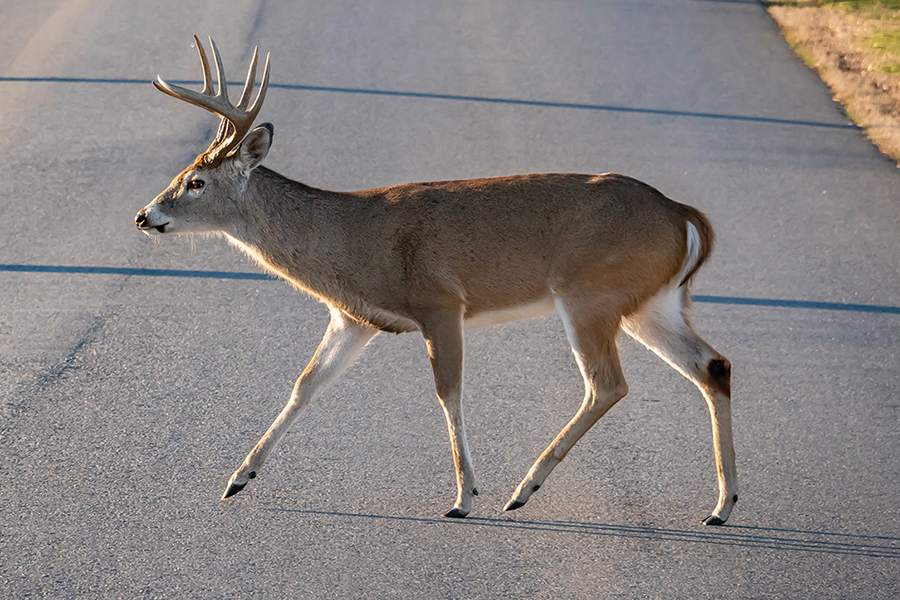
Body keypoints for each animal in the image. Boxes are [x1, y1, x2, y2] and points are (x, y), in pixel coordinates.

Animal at [135, 37, 740, 524]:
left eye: (195, 181)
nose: (145, 215)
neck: (351, 239)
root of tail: (683, 214)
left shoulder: (440, 302)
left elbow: (448, 391)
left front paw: (464, 496)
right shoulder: (355, 318)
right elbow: (306, 384)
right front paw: (237, 478)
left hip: (590, 292)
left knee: (608, 383)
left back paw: (522, 489)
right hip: (649, 302)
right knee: (712, 365)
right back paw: (721, 505)